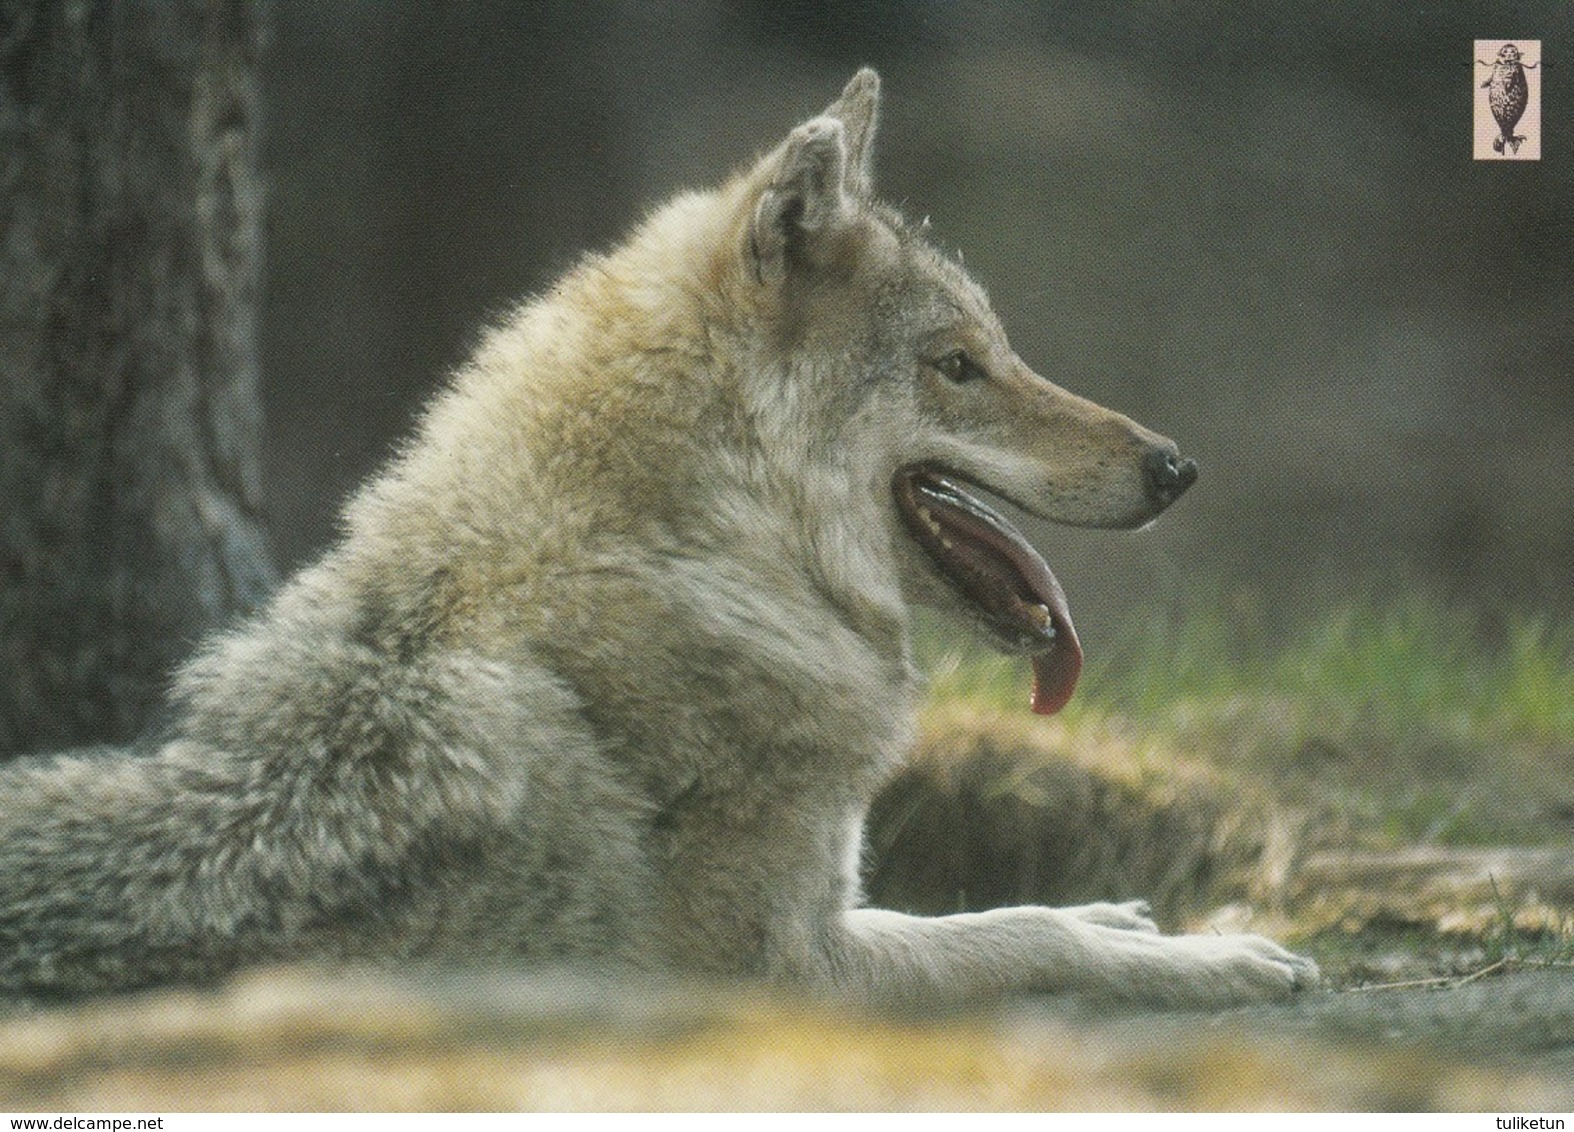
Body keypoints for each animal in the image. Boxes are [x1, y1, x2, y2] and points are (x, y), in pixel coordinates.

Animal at [0, 70, 1315, 1007]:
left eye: (998, 349)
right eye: (956, 365)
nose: (1175, 466)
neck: (703, 556)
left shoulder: (828, 919)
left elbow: (979, 914)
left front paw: (1131, 915)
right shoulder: (785, 968)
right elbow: (1012, 933)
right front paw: (1212, 960)